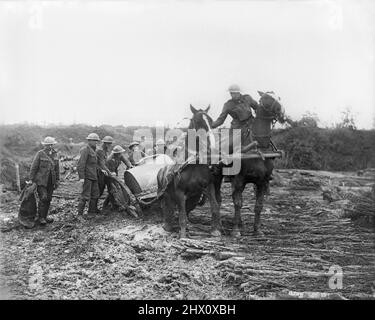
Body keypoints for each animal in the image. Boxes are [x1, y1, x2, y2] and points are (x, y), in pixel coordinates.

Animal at [157, 104, 222, 238]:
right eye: (197, 121)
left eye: (211, 122)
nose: (212, 148)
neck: (193, 164)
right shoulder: (180, 192)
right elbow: (181, 215)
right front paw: (182, 235)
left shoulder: (209, 186)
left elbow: (214, 207)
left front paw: (215, 231)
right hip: (165, 196)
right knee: (167, 209)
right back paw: (167, 226)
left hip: (194, 198)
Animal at [213, 91, 286, 236]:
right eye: (266, 98)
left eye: (278, 97)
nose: (281, 112)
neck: (259, 147)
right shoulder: (239, 180)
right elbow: (238, 203)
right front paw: (235, 230)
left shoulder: (263, 181)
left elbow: (258, 206)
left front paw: (257, 229)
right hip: (218, 177)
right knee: (219, 198)